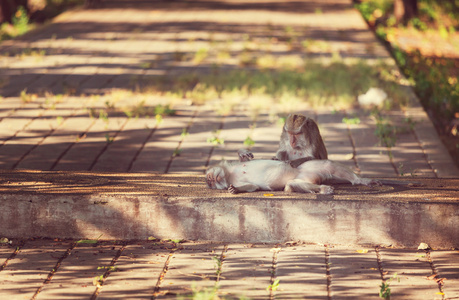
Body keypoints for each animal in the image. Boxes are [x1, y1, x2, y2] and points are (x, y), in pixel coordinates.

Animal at [207, 149, 382, 195]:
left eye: (209, 178)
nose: (210, 181)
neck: (230, 174)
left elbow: (247, 159)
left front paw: (243, 153)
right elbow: (252, 186)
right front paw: (235, 190)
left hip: (307, 168)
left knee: (328, 165)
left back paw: (361, 181)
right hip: (306, 177)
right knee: (291, 184)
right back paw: (323, 189)